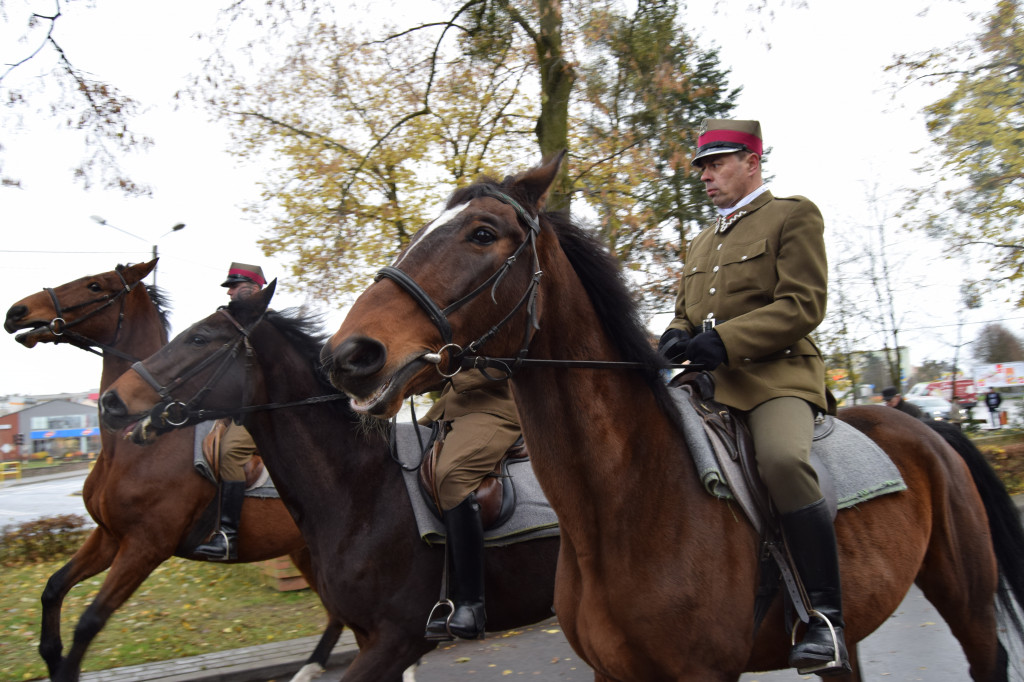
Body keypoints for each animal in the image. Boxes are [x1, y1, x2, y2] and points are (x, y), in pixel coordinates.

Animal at [3, 259, 344, 679]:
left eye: (95, 285)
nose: (17, 312)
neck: (133, 446)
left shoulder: (146, 546)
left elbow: (89, 622)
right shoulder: (109, 537)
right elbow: (53, 588)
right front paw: (51, 654)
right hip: (304, 550)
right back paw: (312, 664)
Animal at [317, 155, 1024, 679]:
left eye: (483, 233)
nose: (349, 355)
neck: (621, 505)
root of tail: (926, 427)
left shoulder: (701, 674)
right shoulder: (612, 672)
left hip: (966, 600)